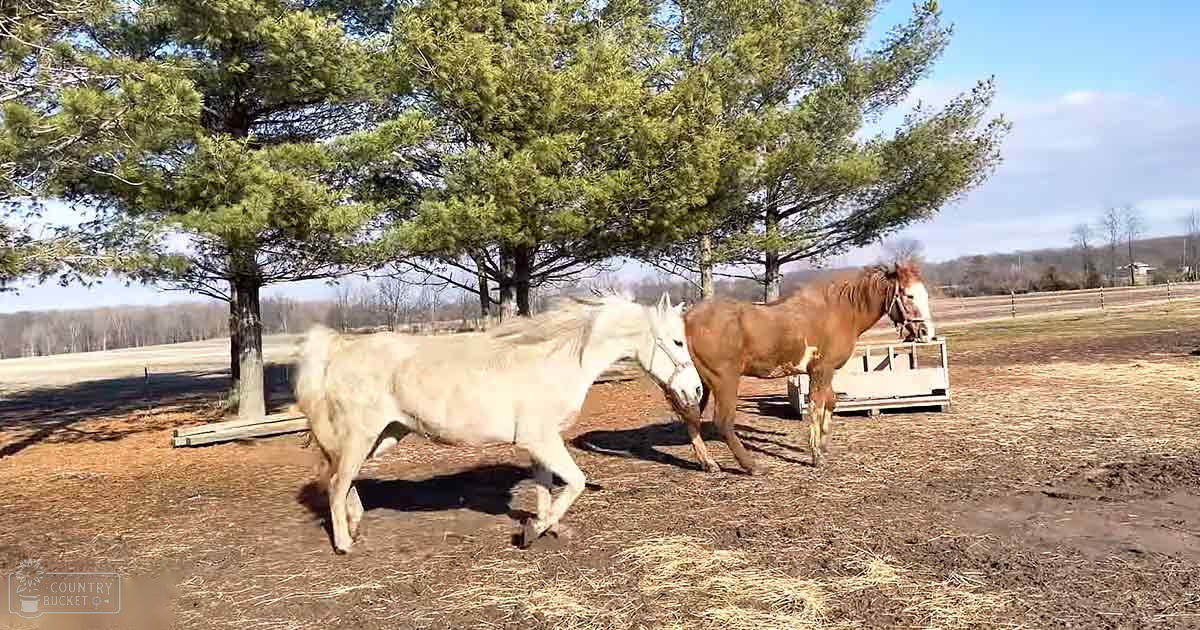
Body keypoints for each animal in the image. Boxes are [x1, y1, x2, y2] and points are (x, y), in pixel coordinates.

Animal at [293, 291, 704, 553]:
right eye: (677, 342)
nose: (696, 390)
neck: (558, 361)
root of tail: (341, 349)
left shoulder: (542, 444)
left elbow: (545, 488)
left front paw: (547, 529)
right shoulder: (540, 440)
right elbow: (574, 482)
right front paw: (533, 531)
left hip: (386, 435)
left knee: (341, 478)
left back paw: (356, 523)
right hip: (362, 435)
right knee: (337, 483)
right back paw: (344, 543)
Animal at [682, 262, 935, 474]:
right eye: (909, 295)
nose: (927, 333)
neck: (840, 312)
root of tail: (687, 319)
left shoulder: (827, 372)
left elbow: (831, 402)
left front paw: (823, 445)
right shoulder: (821, 370)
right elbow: (815, 407)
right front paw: (816, 456)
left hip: (702, 383)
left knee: (691, 417)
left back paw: (708, 463)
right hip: (724, 381)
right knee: (723, 422)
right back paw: (751, 465)